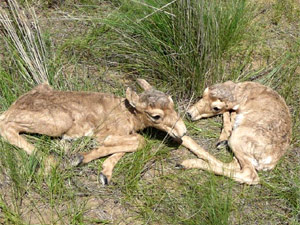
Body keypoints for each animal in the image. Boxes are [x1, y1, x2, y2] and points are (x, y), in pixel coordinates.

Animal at [0, 79, 186, 185]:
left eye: (172, 102)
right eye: (156, 116)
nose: (183, 132)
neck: (128, 113)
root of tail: (12, 108)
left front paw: (105, 174)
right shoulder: (106, 133)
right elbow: (140, 141)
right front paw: (80, 158)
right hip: (59, 122)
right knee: (6, 127)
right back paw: (51, 161)